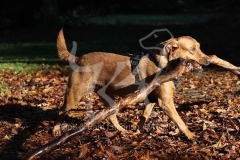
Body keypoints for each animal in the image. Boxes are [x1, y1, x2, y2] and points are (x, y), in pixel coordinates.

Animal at [53, 29, 210, 140]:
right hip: (74, 94)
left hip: (109, 98)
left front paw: (138, 131)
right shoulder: (165, 102)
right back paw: (56, 129)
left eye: (200, 47)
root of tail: (79, 58)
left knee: (111, 116)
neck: (165, 65)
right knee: (61, 111)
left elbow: (144, 117)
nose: (209, 60)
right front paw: (191, 136)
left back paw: (123, 131)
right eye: (193, 50)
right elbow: (180, 121)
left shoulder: (151, 100)